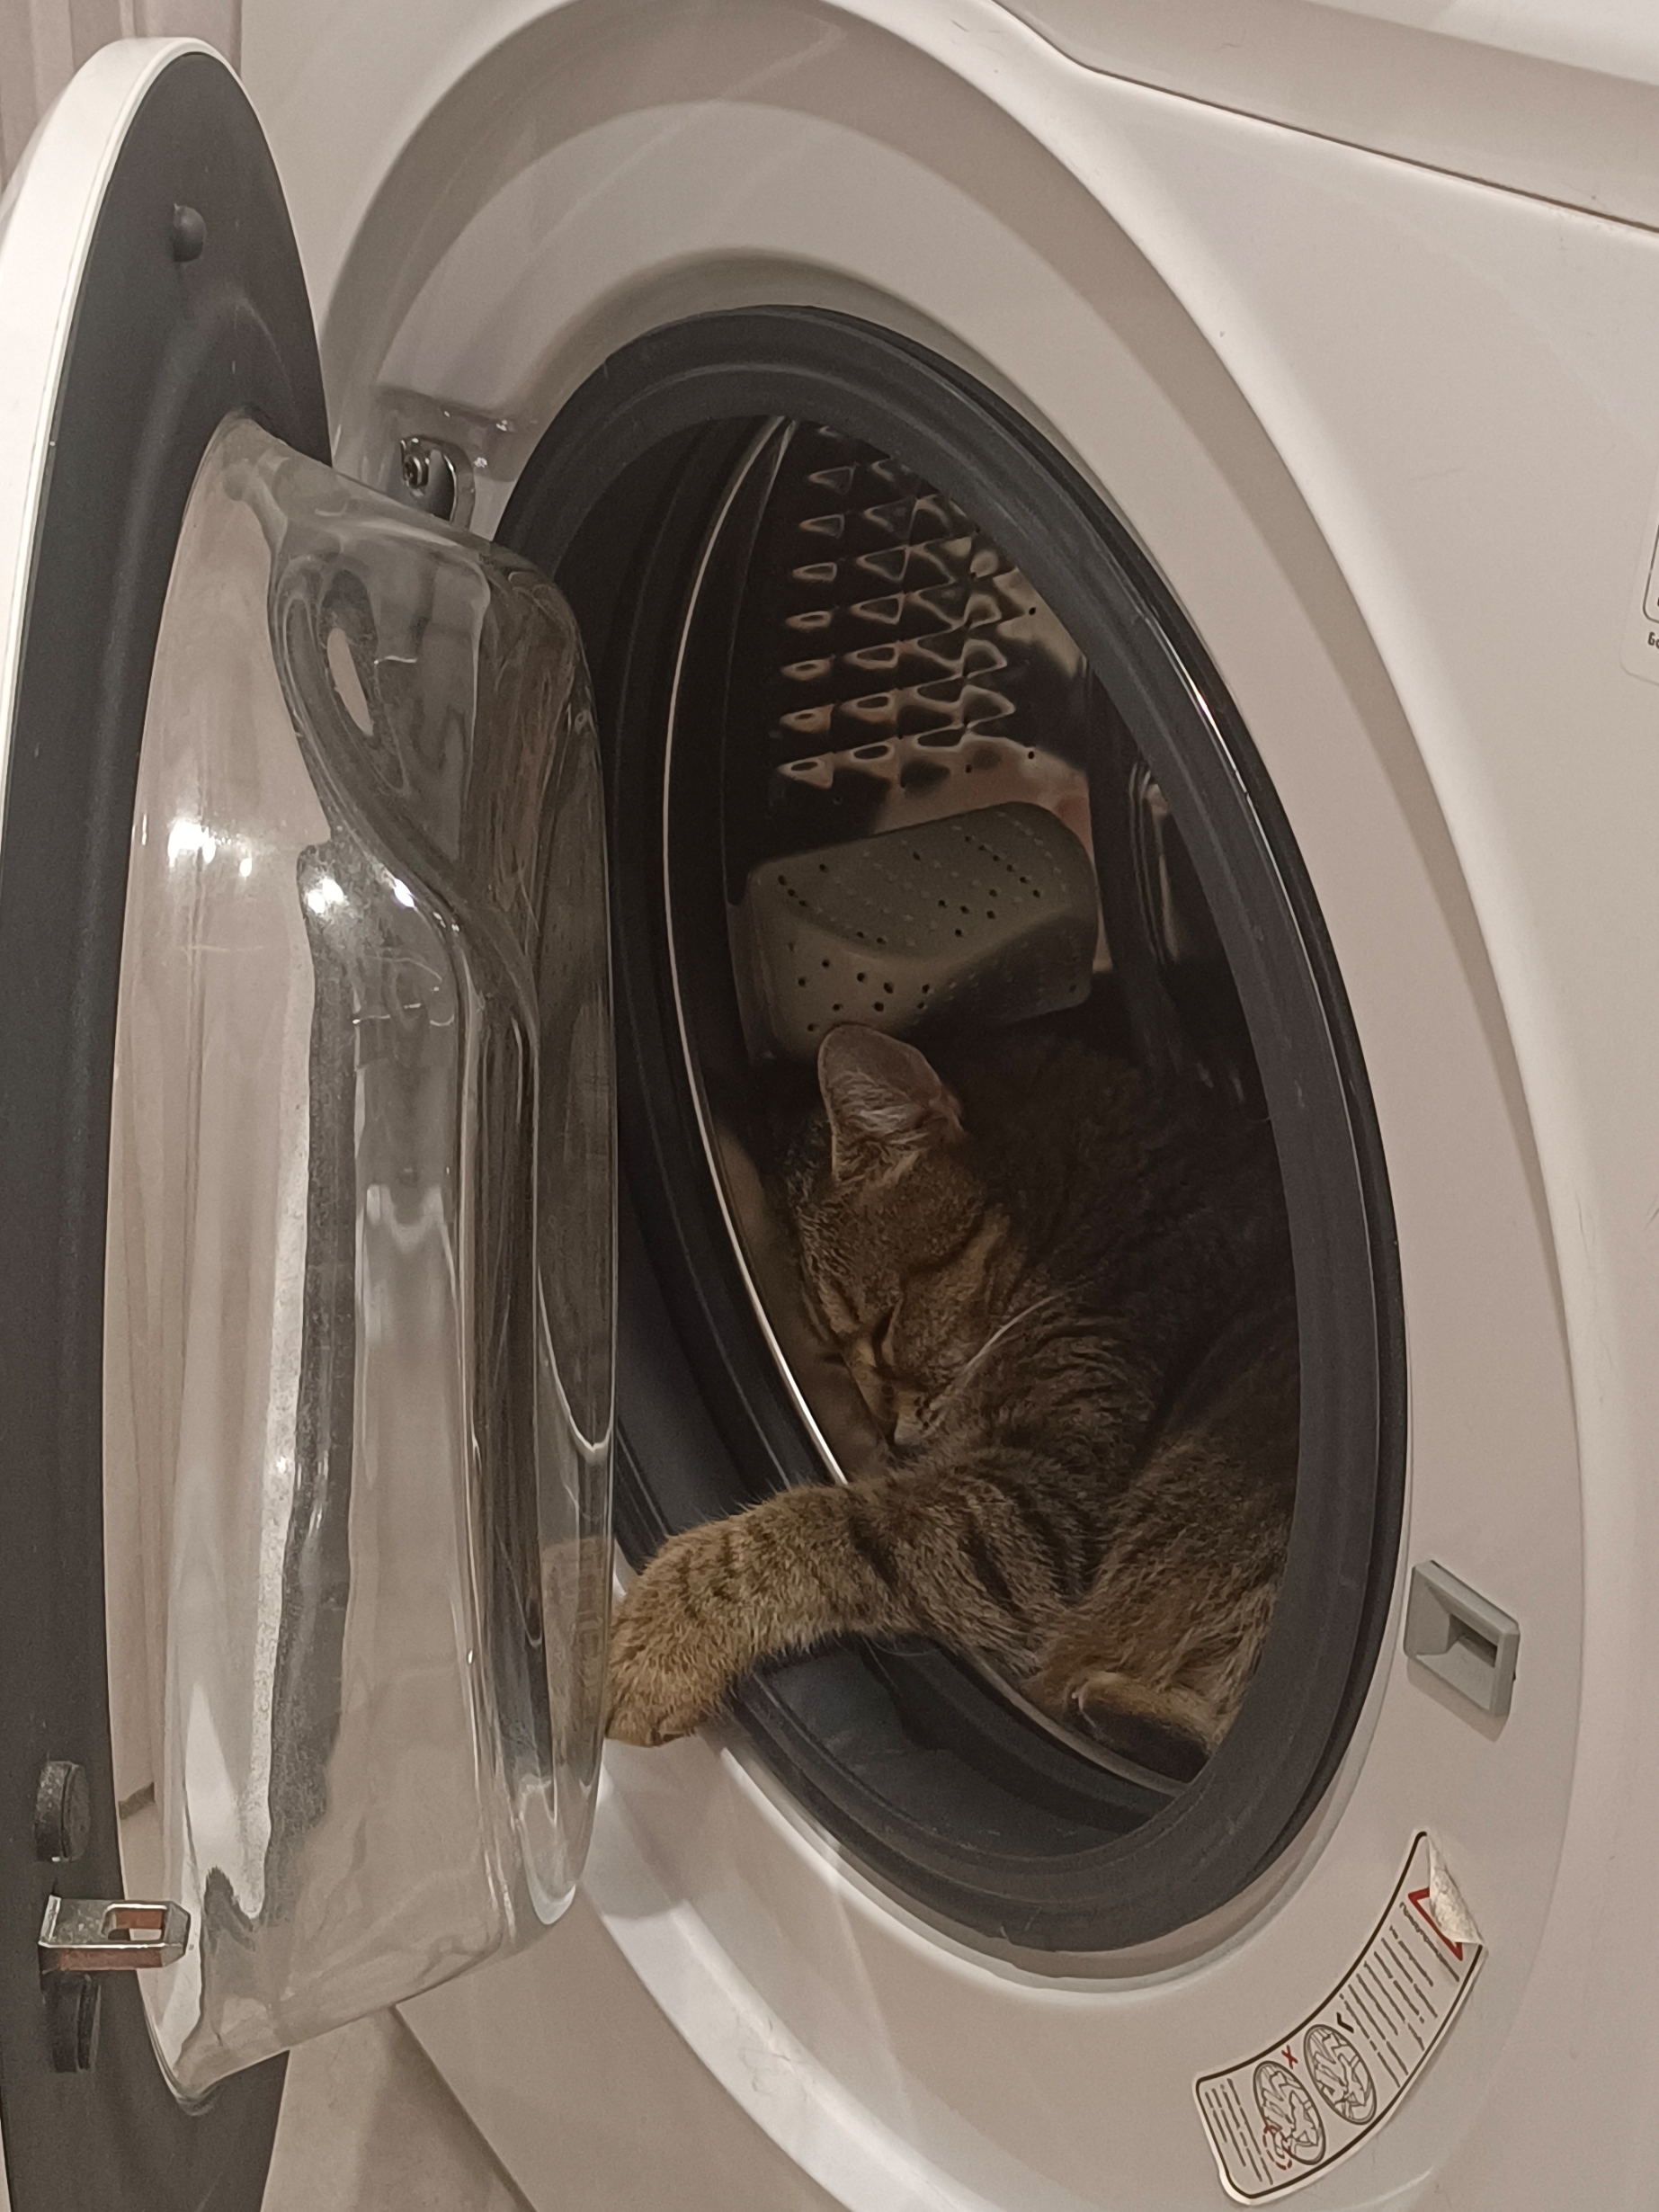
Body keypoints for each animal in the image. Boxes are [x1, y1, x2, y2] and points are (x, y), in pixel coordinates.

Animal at [606, 1019, 1298, 1773]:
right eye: (832, 1349)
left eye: (883, 1327)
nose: (884, 1428)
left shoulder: (1044, 1501)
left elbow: (819, 1524)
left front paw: (663, 1632)